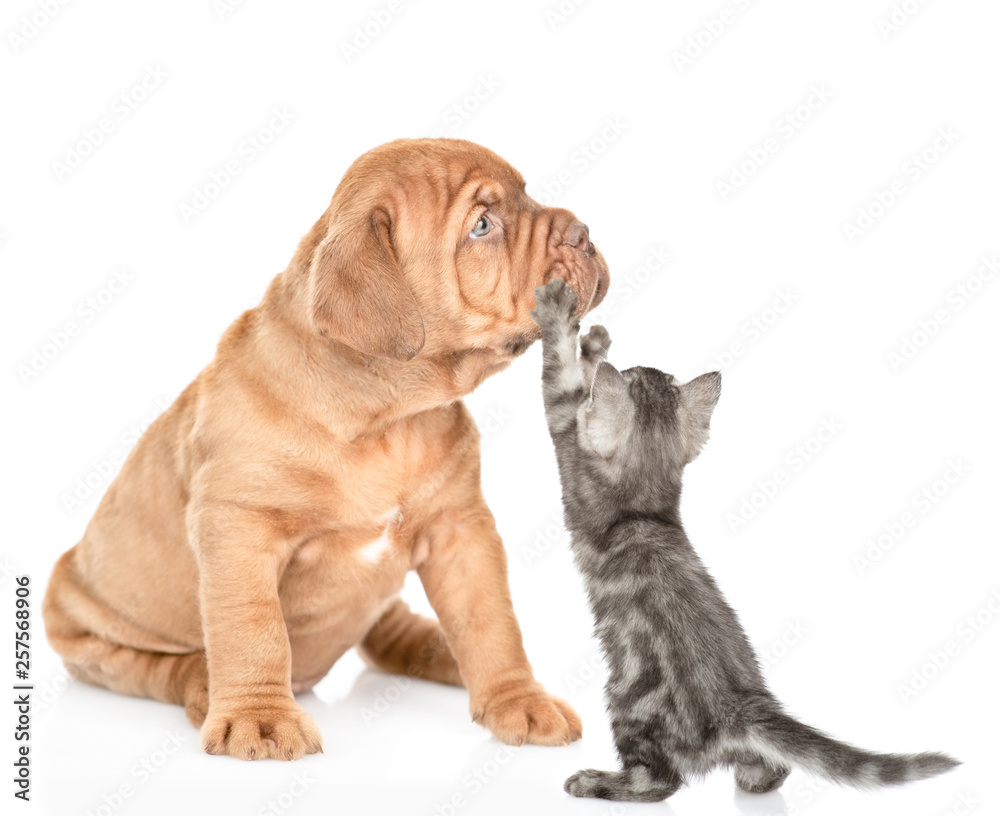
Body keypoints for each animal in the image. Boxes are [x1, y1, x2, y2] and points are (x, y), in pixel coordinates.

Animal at [41, 139, 608, 760]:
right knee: (156, 667)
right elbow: (253, 628)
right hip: (85, 629)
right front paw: (260, 719)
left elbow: (490, 620)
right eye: (482, 225)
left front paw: (519, 701)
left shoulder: (460, 527)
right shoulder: (238, 527)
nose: (584, 233)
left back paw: (439, 649)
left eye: (527, 195)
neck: (392, 417)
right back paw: (202, 684)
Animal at [528, 280, 956, 804]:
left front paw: (560, 316)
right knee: (772, 767)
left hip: (627, 700)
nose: (625, 359)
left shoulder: (568, 436)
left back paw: (595, 781)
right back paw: (755, 779)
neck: (645, 503)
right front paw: (595, 344)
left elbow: (559, 375)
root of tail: (740, 708)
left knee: (658, 781)